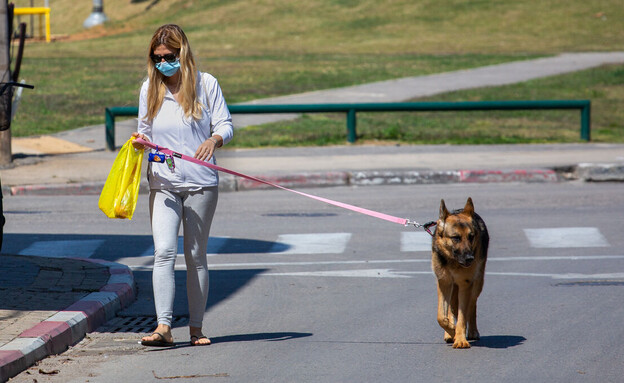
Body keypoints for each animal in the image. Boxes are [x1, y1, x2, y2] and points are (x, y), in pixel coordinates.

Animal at [434, 198, 488, 352]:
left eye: (471, 237)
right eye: (456, 238)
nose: (470, 258)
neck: (453, 262)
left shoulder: (465, 284)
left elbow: (463, 317)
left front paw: (460, 339)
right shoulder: (444, 282)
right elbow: (441, 316)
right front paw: (451, 331)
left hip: (477, 283)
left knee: (472, 305)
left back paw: (473, 331)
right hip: (453, 286)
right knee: (451, 309)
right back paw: (449, 333)